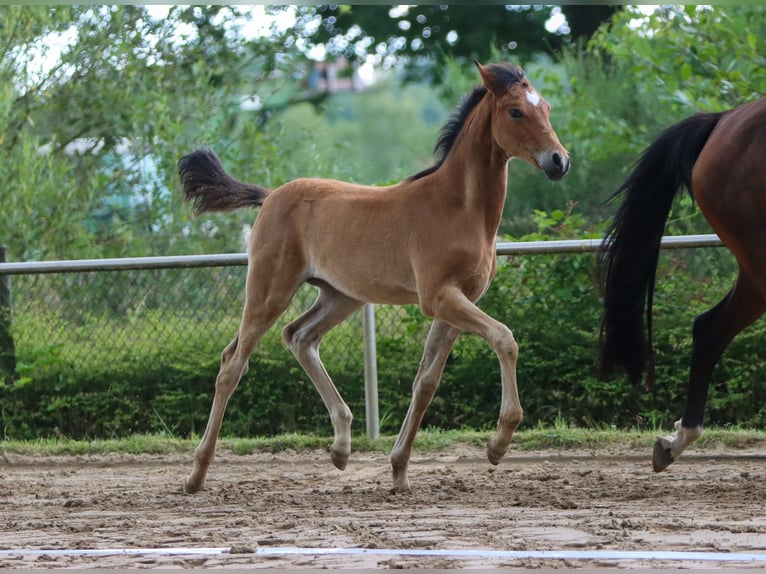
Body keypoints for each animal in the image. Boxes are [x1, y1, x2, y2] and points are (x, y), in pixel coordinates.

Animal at [177, 63, 568, 496]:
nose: (559, 161)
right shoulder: (439, 297)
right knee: (233, 364)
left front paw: (399, 469)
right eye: (515, 111)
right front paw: (498, 444)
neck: (459, 208)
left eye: (546, 108)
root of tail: (270, 195)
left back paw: (341, 447)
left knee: (299, 337)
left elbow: (426, 381)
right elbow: (504, 338)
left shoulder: (458, 303)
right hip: (269, 291)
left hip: (340, 296)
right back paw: (196, 474)